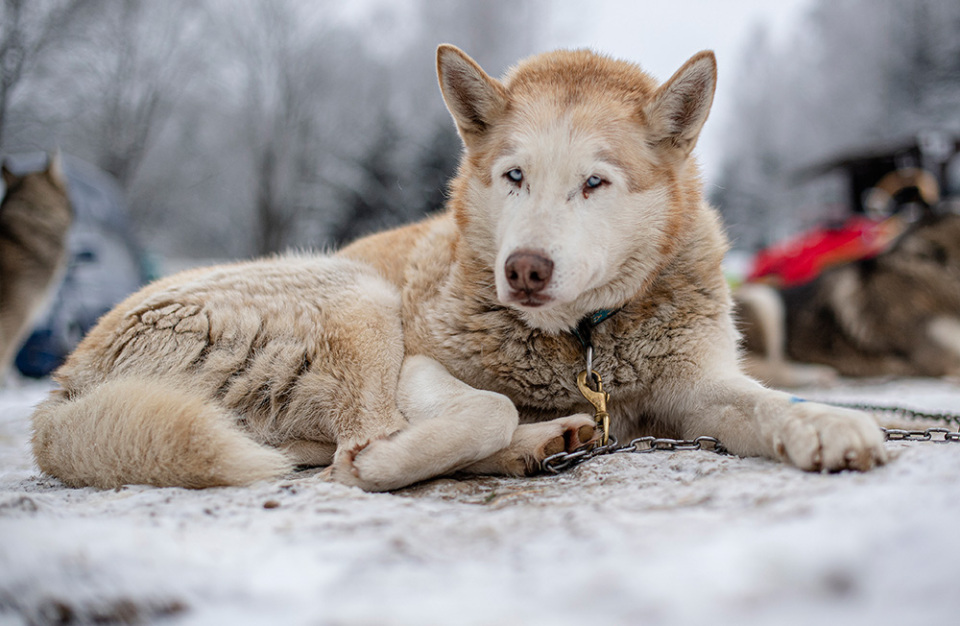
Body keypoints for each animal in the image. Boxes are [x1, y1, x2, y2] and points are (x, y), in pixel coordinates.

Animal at [31, 45, 884, 492]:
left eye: (594, 182)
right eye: (514, 176)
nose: (526, 270)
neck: (583, 344)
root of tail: (63, 390)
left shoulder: (698, 387)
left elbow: (765, 403)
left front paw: (827, 425)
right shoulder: (417, 365)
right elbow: (484, 408)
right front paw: (410, 457)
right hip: (358, 295)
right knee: (355, 444)